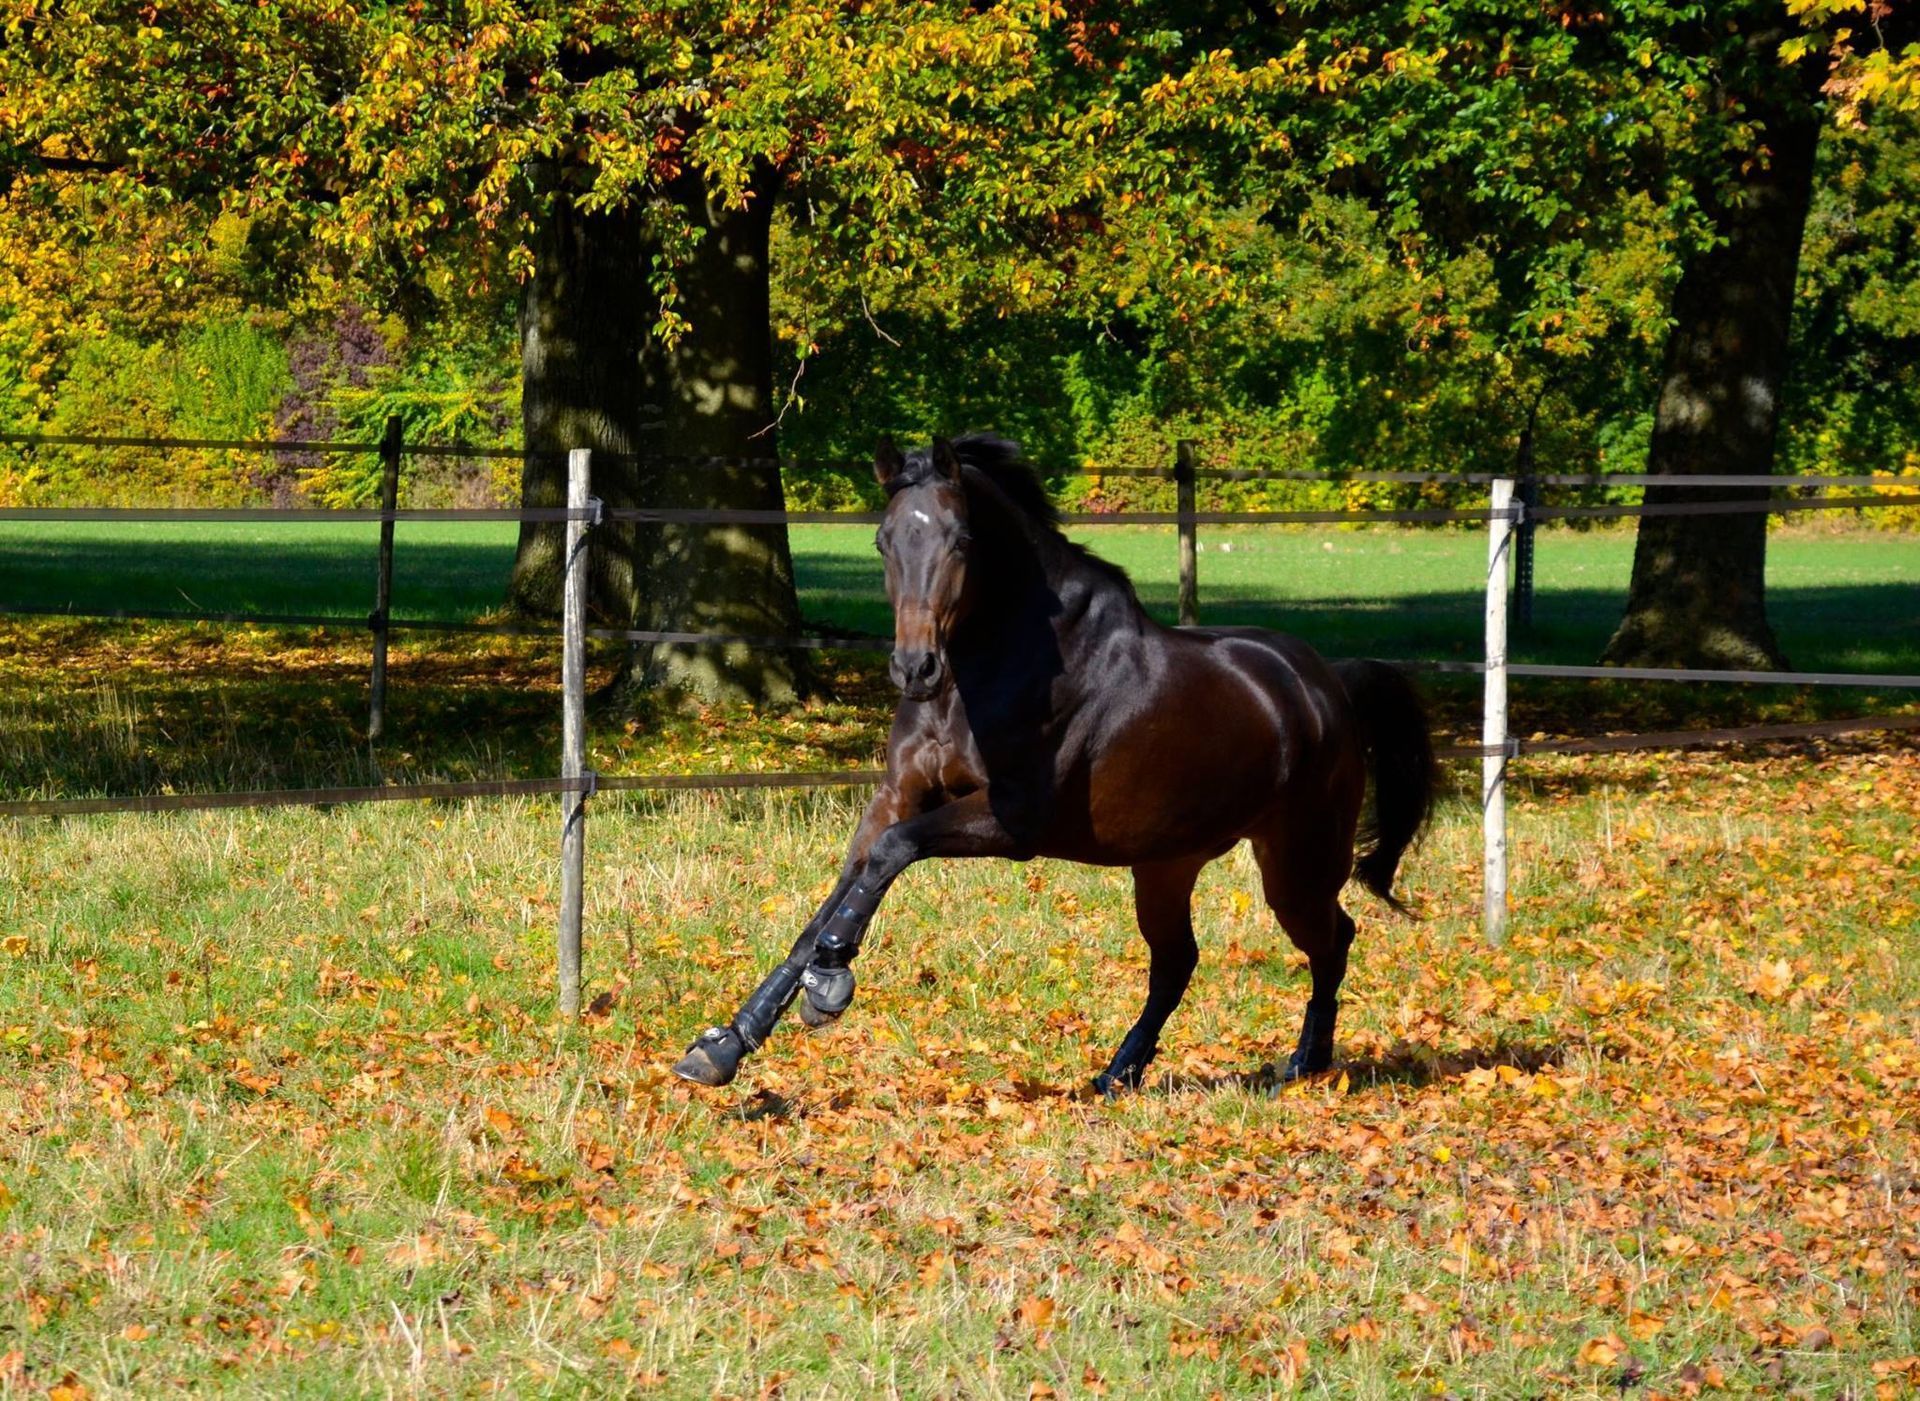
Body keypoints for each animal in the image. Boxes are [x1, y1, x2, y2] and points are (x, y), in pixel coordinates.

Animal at [672, 434, 1436, 1094]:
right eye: (884, 541)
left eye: (961, 540)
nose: (914, 668)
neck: (983, 674)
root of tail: (1326, 683)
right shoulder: (897, 794)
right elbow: (840, 891)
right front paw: (726, 1045)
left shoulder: (1012, 821)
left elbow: (890, 856)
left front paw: (830, 981)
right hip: (1166, 864)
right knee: (1177, 963)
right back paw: (1119, 1073)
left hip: (1295, 862)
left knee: (1332, 937)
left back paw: (1305, 1062)